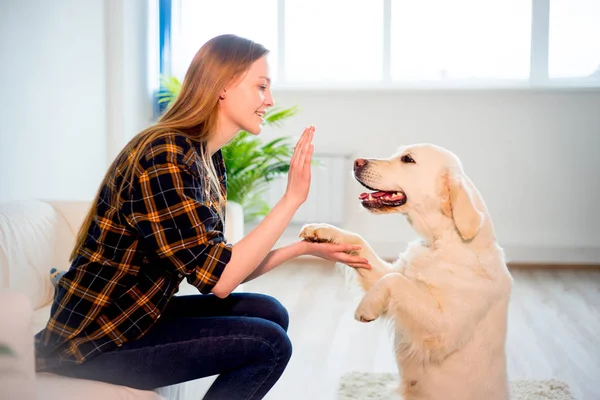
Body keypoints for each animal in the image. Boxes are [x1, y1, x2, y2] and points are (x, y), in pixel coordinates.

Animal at [300, 144, 510, 400]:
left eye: (408, 159)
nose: (357, 162)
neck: (439, 242)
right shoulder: (387, 271)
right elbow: (362, 244)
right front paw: (322, 230)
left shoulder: (445, 330)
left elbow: (395, 280)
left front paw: (366, 307)